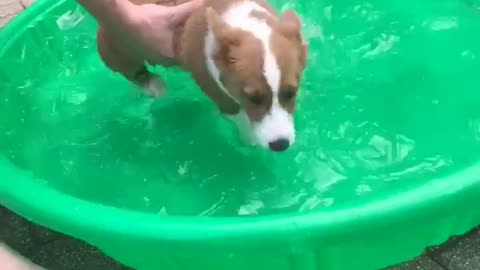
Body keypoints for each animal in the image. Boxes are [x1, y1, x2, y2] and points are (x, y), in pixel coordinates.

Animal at [97, 0, 308, 152]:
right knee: (134, 71)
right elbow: (238, 115)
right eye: (251, 98)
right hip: (117, 47)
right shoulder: (215, 88)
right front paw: (250, 138)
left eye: (291, 93)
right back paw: (153, 85)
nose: (280, 145)